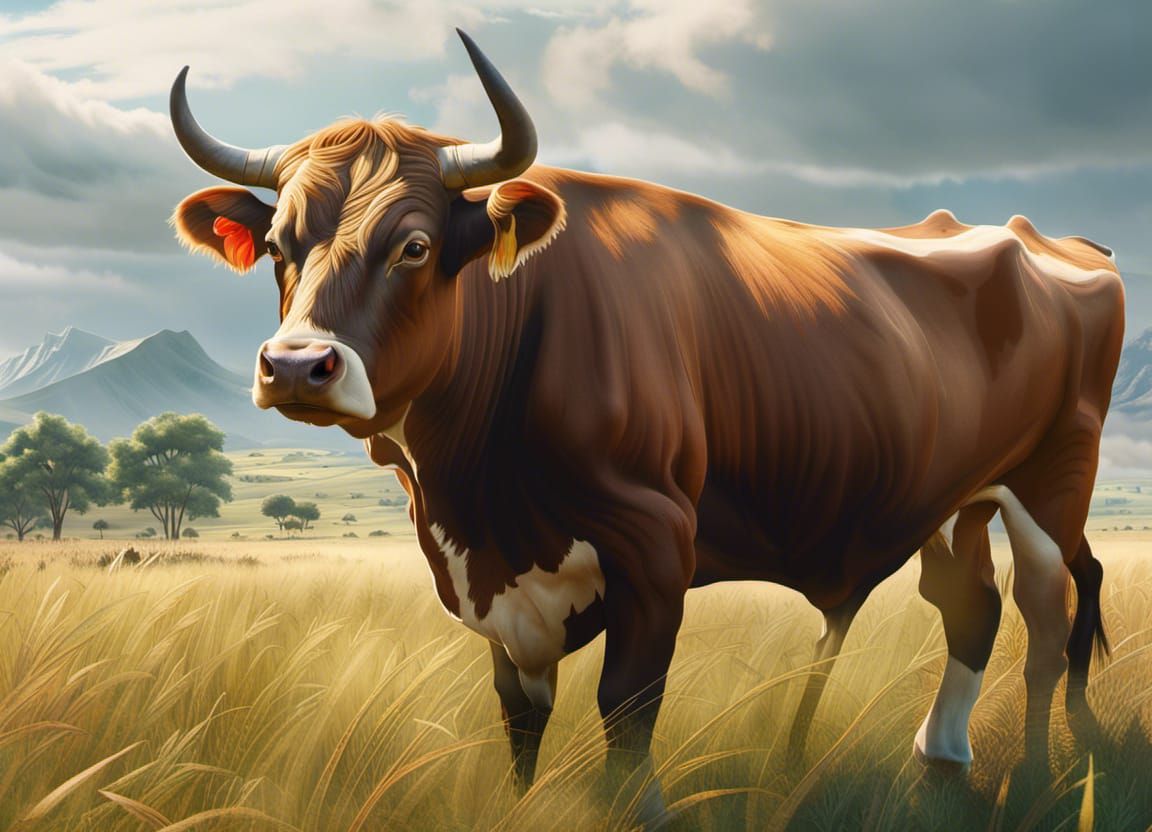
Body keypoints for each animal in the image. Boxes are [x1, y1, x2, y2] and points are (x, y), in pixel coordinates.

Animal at [168, 30, 1121, 823]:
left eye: (413, 246)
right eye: (280, 247)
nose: (297, 366)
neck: (472, 499)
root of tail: (1052, 240)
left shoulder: (657, 538)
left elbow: (627, 704)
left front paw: (641, 808)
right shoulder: (495, 586)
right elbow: (519, 716)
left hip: (1052, 483)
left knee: (1041, 622)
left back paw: (1033, 776)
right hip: (955, 497)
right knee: (971, 605)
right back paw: (943, 758)